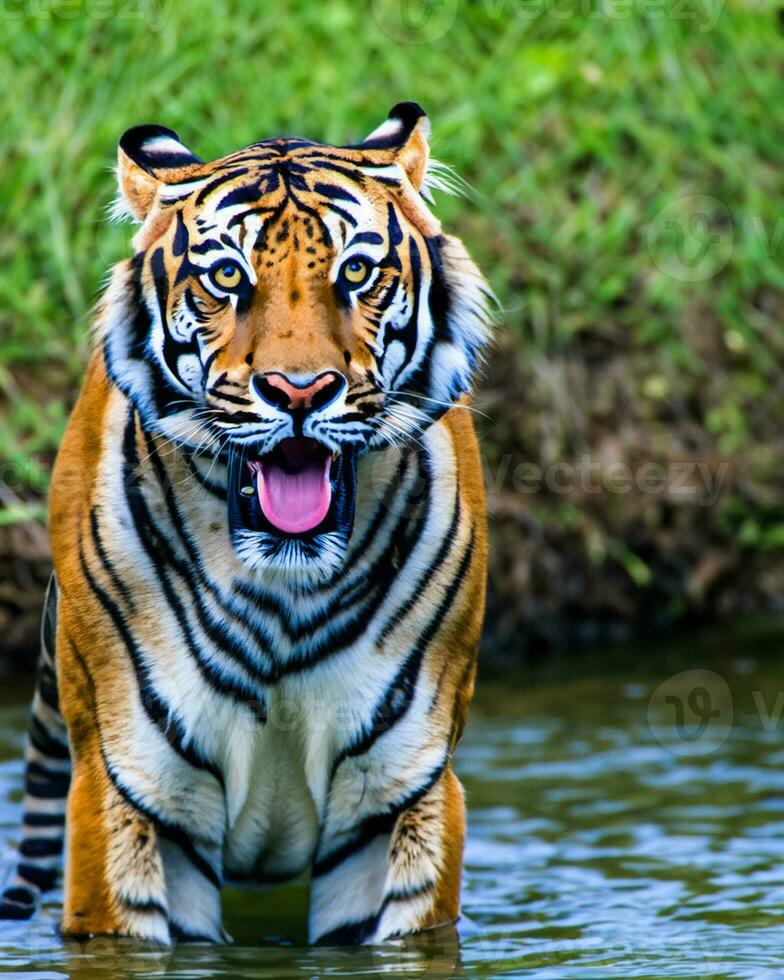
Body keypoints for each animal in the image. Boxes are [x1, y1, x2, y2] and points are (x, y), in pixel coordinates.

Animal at [0, 103, 494, 944]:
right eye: (228, 276)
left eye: (355, 273)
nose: (299, 392)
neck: (284, 586)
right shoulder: (130, 786)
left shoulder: (402, 788)